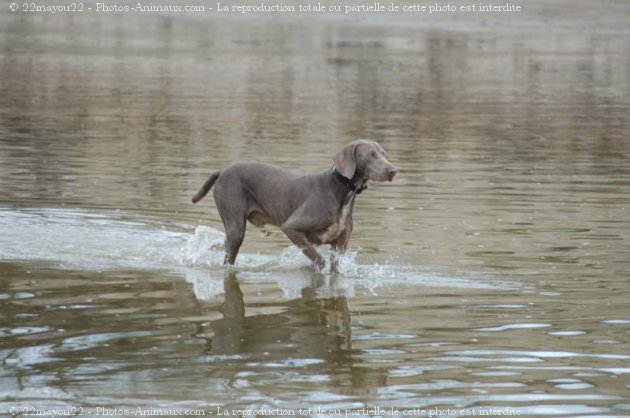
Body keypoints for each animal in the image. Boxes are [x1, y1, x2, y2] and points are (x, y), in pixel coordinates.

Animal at [194, 139, 400, 272]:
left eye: (384, 154)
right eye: (371, 155)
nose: (393, 170)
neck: (341, 191)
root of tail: (222, 171)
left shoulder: (339, 246)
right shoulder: (291, 228)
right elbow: (319, 261)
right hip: (235, 227)